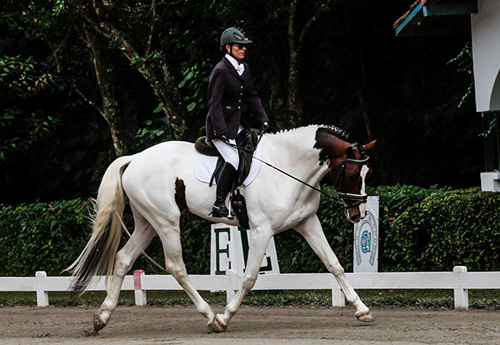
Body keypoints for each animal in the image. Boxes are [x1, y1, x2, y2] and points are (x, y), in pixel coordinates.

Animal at [68, 123, 376, 330]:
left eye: (367, 172)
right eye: (352, 173)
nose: (358, 214)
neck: (288, 165)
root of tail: (135, 158)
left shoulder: (307, 222)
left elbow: (334, 264)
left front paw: (362, 310)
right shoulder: (261, 230)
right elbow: (250, 276)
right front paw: (225, 317)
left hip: (147, 222)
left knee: (123, 259)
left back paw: (102, 317)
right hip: (166, 220)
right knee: (176, 266)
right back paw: (208, 315)